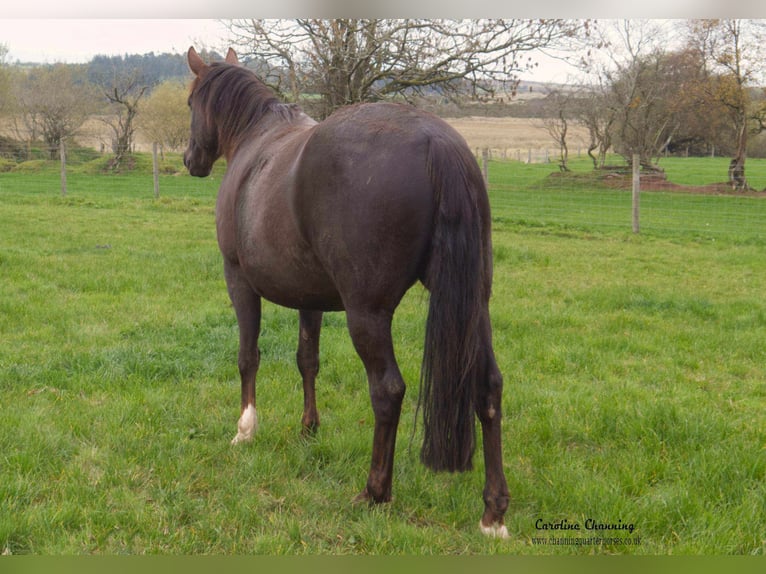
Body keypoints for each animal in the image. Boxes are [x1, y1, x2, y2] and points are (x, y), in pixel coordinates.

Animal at [184, 46, 512, 540]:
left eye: (189, 104)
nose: (190, 160)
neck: (255, 143)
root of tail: (437, 142)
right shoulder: (309, 298)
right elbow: (307, 359)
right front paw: (308, 428)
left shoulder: (237, 279)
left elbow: (247, 356)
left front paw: (245, 429)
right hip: (475, 306)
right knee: (487, 387)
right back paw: (493, 513)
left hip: (367, 314)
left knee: (388, 390)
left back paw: (375, 491)